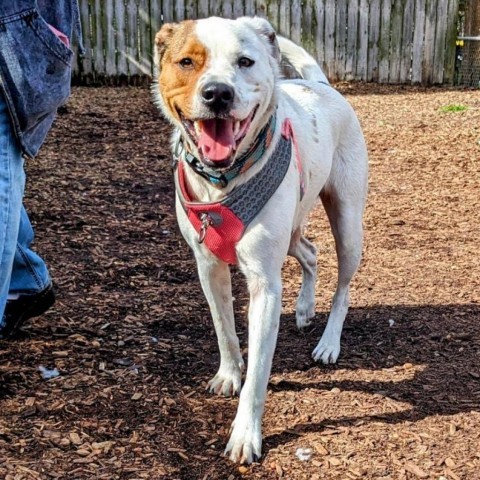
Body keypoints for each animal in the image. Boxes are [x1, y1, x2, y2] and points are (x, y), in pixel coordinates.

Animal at [153, 16, 368, 464]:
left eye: (245, 61)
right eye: (186, 62)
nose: (218, 93)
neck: (223, 182)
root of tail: (321, 85)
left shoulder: (265, 286)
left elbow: (258, 375)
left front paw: (245, 435)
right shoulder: (208, 267)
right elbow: (224, 328)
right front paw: (228, 373)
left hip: (347, 223)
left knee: (342, 286)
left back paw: (329, 342)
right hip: (291, 229)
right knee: (310, 252)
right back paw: (303, 309)